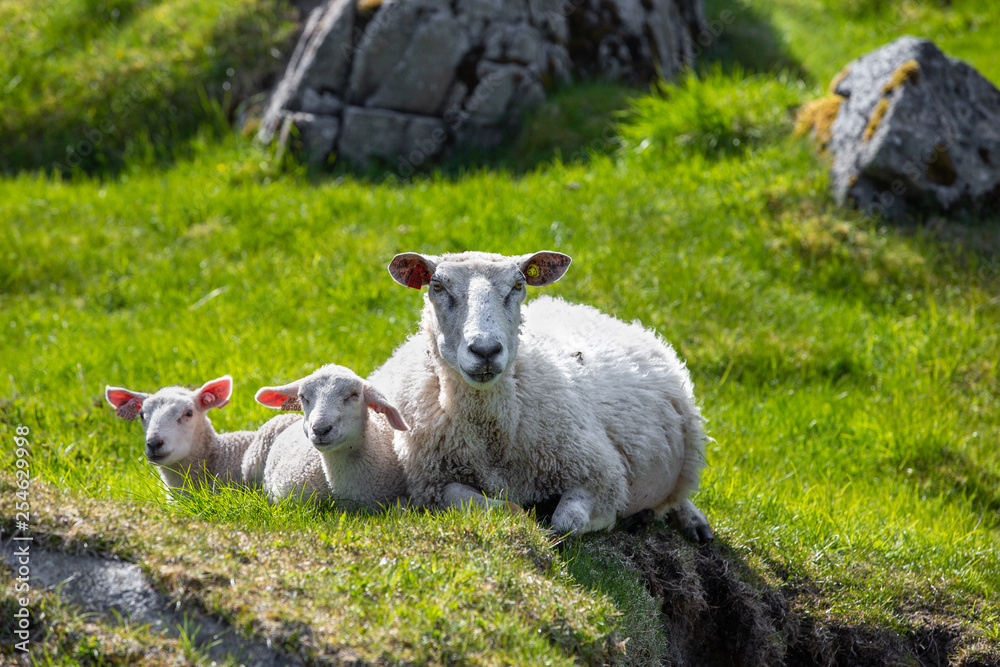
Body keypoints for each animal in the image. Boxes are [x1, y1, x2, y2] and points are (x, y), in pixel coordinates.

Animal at [372, 250, 716, 544]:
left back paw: (691, 521)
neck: (492, 443)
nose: (485, 350)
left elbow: (568, 523)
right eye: (438, 285)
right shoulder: (434, 485)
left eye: (518, 284)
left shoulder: (601, 475)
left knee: (679, 495)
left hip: (689, 449)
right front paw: (523, 518)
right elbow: (490, 506)